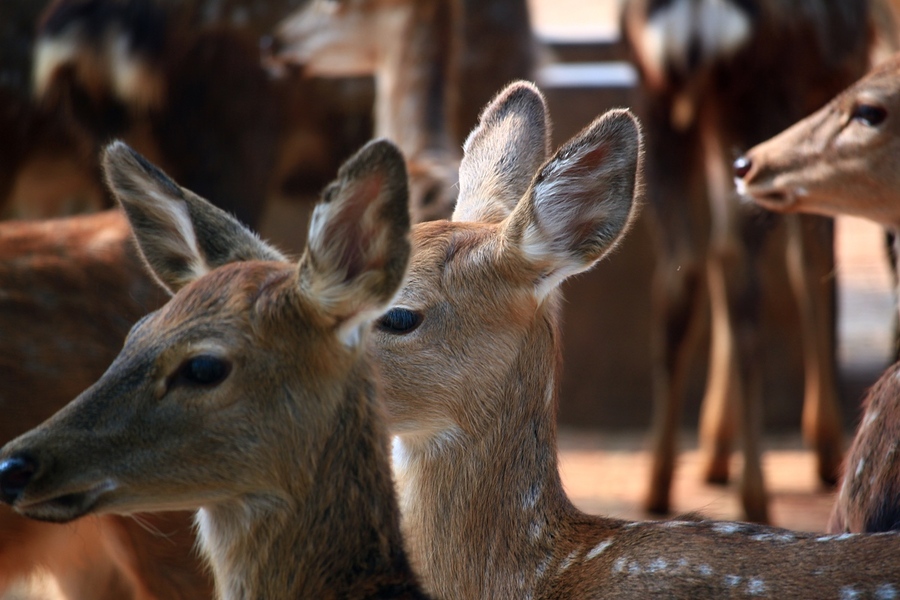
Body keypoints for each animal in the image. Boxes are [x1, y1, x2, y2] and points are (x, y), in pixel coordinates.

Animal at [620, 0, 872, 524]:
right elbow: (813, 260)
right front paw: (825, 448)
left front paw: (716, 447)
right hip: (755, 108)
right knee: (739, 265)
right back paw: (755, 494)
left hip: (657, 111)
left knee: (691, 263)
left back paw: (658, 484)